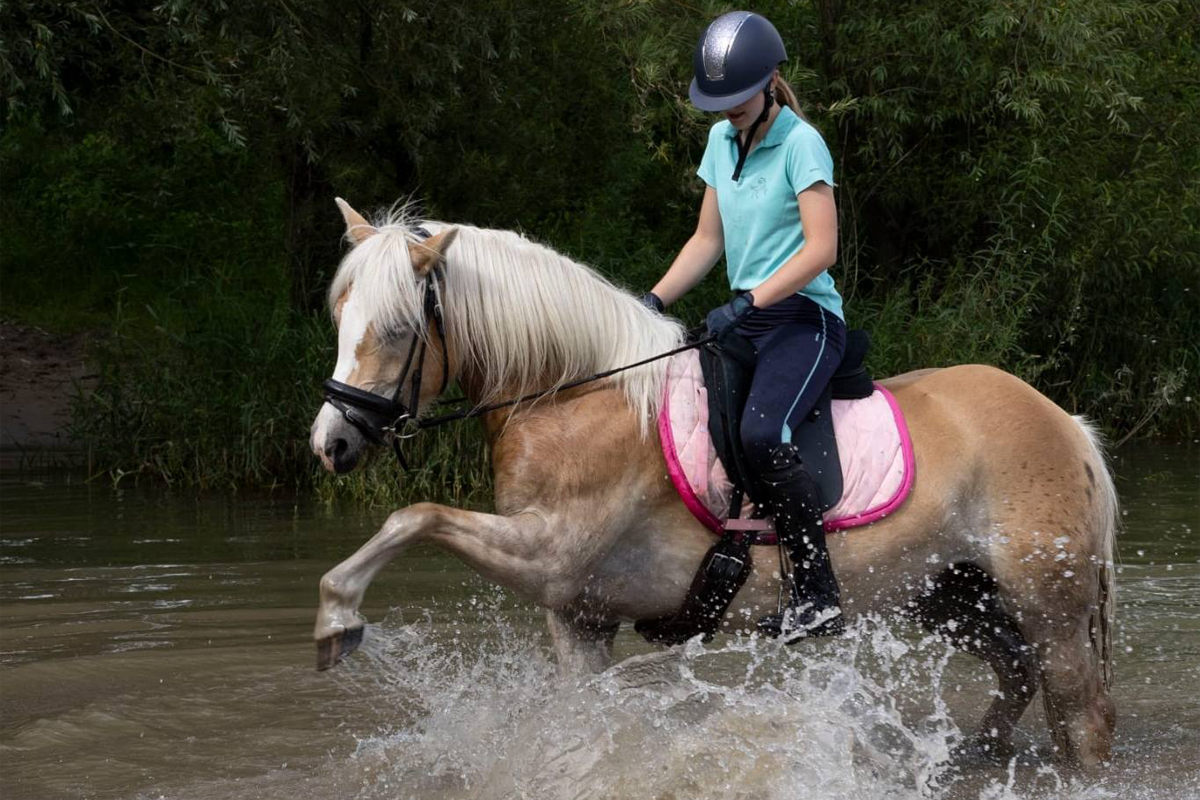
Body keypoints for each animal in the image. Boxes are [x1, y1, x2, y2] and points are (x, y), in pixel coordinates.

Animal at [309, 199, 1117, 770]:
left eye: (398, 328)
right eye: (342, 317)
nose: (332, 443)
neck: (575, 393)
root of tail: (1067, 423)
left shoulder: (549, 553)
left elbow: (414, 515)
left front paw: (336, 620)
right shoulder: (577, 612)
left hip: (1048, 605)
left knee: (1081, 720)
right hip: (950, 593)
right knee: (1017, 675)